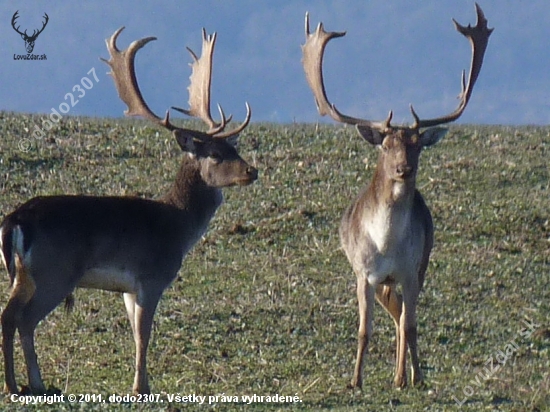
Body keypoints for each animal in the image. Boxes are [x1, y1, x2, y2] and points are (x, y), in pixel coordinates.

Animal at [0, 26, 258, 396]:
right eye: (215, 154)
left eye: (233, 148)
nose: (252, 171)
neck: (178, 226)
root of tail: (15, 220)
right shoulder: (151, 276)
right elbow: (144, 333)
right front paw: (141, 387)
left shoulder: (127, 288)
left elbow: (135, 331)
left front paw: (141, 382)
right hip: (55, 272)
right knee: (25, 318)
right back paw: (35, 382)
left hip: (23, 273)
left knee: (7, 315)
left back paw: (14, 383)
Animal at [304, 4, 494, 388]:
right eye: (387, 145)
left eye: (417, 145)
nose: (403, 169)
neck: (386, 242)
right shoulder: (363, 273)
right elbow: (364, 330)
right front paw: (355, 380)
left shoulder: (410, 270)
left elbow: (410, 325)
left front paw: (414, 377)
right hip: (379, 280)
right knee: (393, 313)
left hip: (420, 265)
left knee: (404, 319)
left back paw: (403, 376)